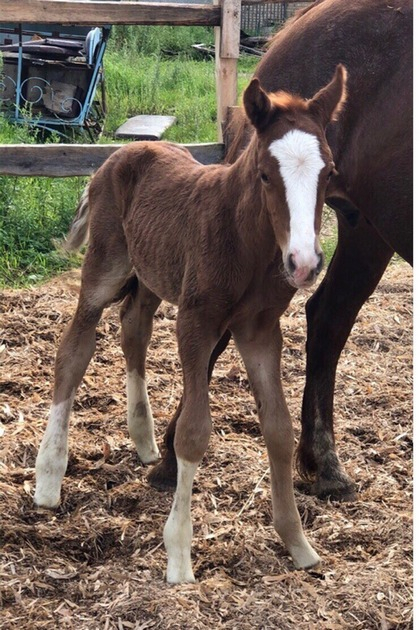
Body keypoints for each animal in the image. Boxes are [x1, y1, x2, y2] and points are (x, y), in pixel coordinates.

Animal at [148, 0, 414, 502]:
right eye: (268, 174)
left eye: (327, 171)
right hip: (365, 230)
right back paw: (174, 456)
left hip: (365, 229)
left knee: (328, 317)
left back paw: (323, 463)